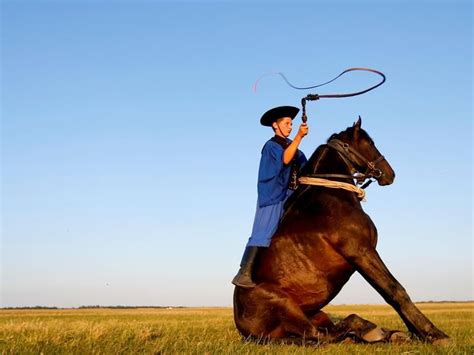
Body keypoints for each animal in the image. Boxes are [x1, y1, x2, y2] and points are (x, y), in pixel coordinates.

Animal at [235, 118, 450, 346]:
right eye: (370, 143)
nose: (390, 173)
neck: (332, 196)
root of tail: (244, 329)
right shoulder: (361, 252)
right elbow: (394, 290)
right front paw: (433, 334)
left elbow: (389, 293)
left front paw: (416, 333)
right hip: (285, 304)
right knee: (320, 334)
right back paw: (372, 330)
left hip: (317, 314)